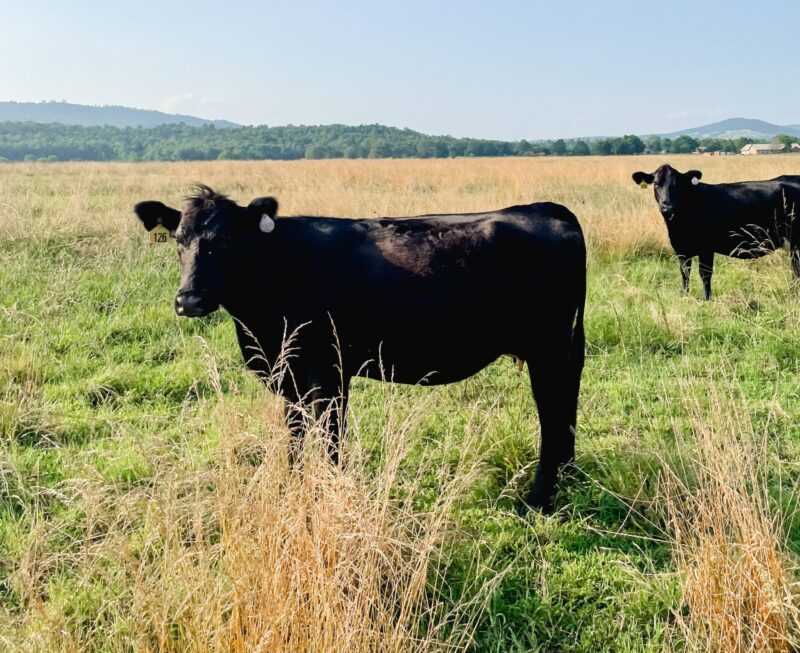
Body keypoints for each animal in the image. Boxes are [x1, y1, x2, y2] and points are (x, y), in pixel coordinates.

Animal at [134, 186, 586, 511]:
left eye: (226, 240)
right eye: (178, 240)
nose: (189, 300)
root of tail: (546, 209)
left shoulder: (329, 369)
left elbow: (330, 437)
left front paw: (330, 490)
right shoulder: (290, 373)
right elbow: (295, 435)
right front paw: (294, 486)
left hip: (548, 351)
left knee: (551, 415)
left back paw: (537, 500)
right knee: (565, 411)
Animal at [632, 164, 800, 299]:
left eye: (677, 185)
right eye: (656, 184)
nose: (667, 207)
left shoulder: (706, 248)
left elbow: (705, 274)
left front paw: (707, 299)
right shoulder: (681, 249)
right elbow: (685, 273)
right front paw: (684, 296)